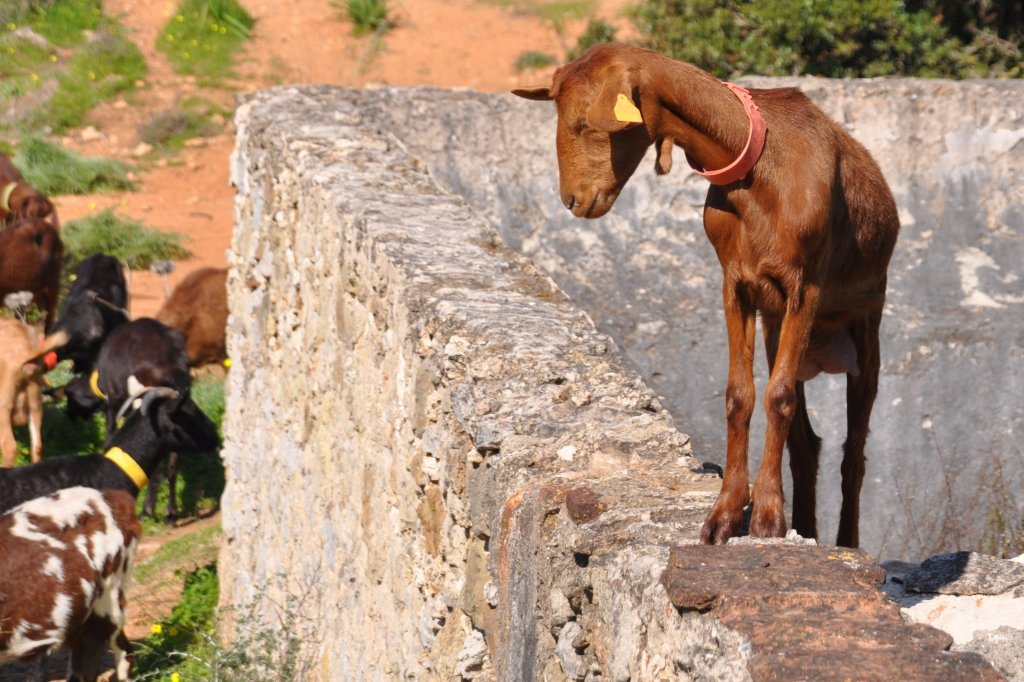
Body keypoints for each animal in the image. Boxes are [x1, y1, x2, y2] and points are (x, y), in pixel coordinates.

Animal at [512, 43, 897, 548]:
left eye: (585, 123)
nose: (572, 199)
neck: (760, 168)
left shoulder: (804, 288)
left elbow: (778, 398)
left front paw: (767, 518)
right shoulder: (737, 286)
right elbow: (741, 395)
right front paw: (727, 514)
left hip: (866, 322)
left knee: (854, 449)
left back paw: (845, 541)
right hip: (778, 327)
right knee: (807, 442)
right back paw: (805, 527)